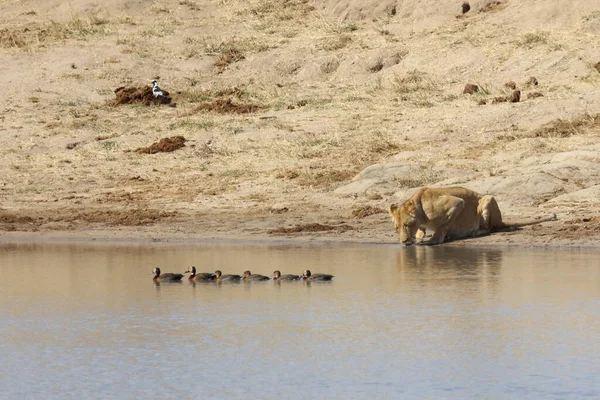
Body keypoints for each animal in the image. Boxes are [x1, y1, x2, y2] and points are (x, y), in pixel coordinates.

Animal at [390, 186, 556, 245]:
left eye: (407, 225)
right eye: (397, 228)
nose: (404, 242)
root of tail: (501, 221)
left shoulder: (457, 203)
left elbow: (443, 225)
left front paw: (434, 240)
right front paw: (419, 235)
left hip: (488, 199)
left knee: (489, 228)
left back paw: (475, 232)